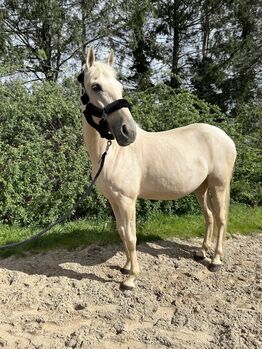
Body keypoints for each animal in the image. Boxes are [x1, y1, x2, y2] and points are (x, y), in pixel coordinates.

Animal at [79, 47, 236, 290]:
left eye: (120, 86)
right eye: (96, 86)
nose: (128, 132)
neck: (112, 154)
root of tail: (226, 137)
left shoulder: (127, 200)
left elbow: (131, 237)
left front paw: (131, 279)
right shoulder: (115, 200)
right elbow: (122, 232)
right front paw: (125, 267)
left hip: (219, 185)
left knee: (220, 219)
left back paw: (216, 260)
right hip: (201, 189)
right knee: (209, 217)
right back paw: (202, 252)